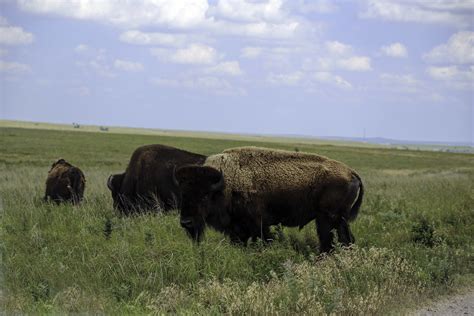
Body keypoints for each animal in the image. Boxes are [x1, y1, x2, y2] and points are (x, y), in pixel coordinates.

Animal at [173, 147, 362, 253]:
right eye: (183, 194)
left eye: (205, 195)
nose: (186, 222)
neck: (224, 183)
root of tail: (351, 172)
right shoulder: (237, 228)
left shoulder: (258, 225)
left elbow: (265, 240)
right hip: (338, 220)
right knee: (346, 240)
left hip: (328, 219)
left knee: (331, 240)